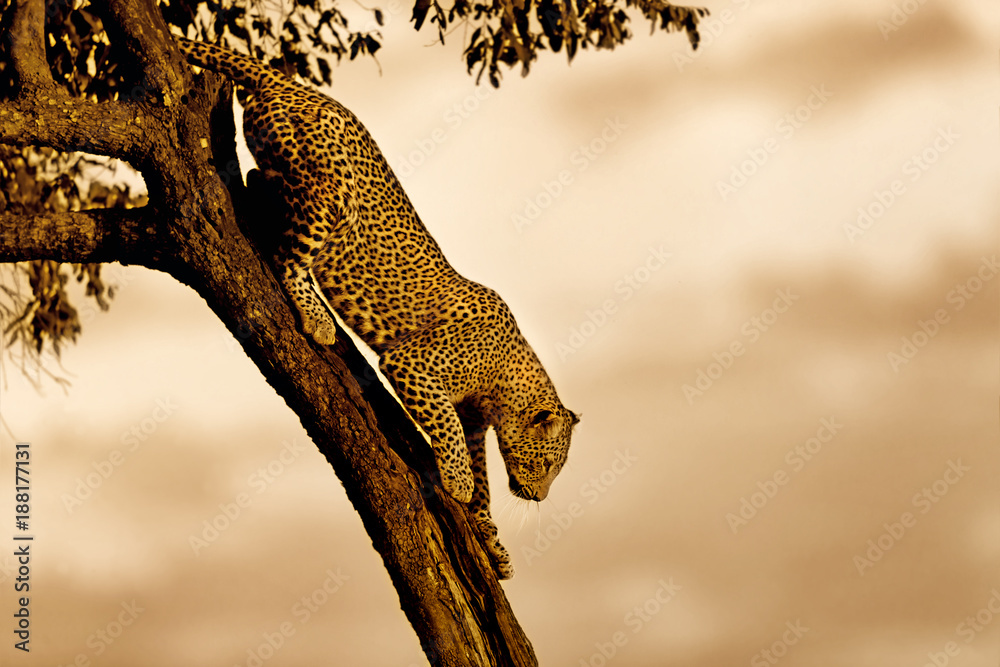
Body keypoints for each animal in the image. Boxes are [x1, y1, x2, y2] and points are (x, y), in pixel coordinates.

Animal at [176, 37, 578, 579]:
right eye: (548, 465)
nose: (538, 498)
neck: (502, 383)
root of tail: (292, 83)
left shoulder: (475, 422)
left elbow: (483, 483)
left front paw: (493, 545)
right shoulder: (415, 365)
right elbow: (449, 433)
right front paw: (457, 483)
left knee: (263, 180)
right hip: (330, 191)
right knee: (288, 257)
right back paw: (317, 318)